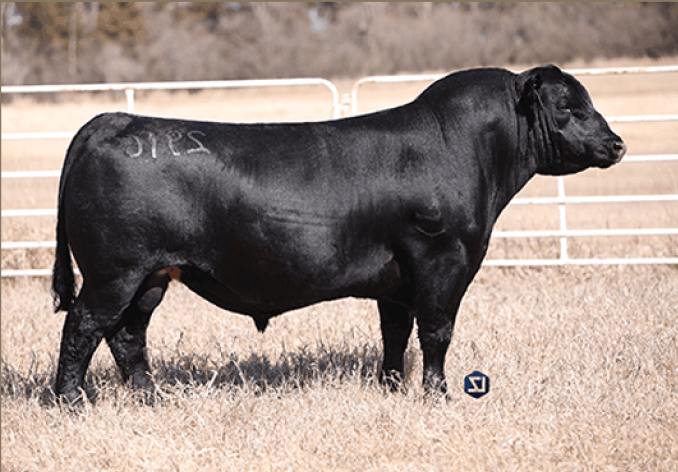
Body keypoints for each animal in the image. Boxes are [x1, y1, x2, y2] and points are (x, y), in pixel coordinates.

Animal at [52, 65, 626, 404]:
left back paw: (149, 398)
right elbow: (436, 332)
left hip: (152, 274)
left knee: (127, 333)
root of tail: (114, 119)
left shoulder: (399, 279)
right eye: (568, 107)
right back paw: (70, 401)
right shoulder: (443, 260)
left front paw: (391, 389)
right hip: (114, 272)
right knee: (83, 325)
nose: (617, 144)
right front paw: (437, 397)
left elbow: (396, 334)